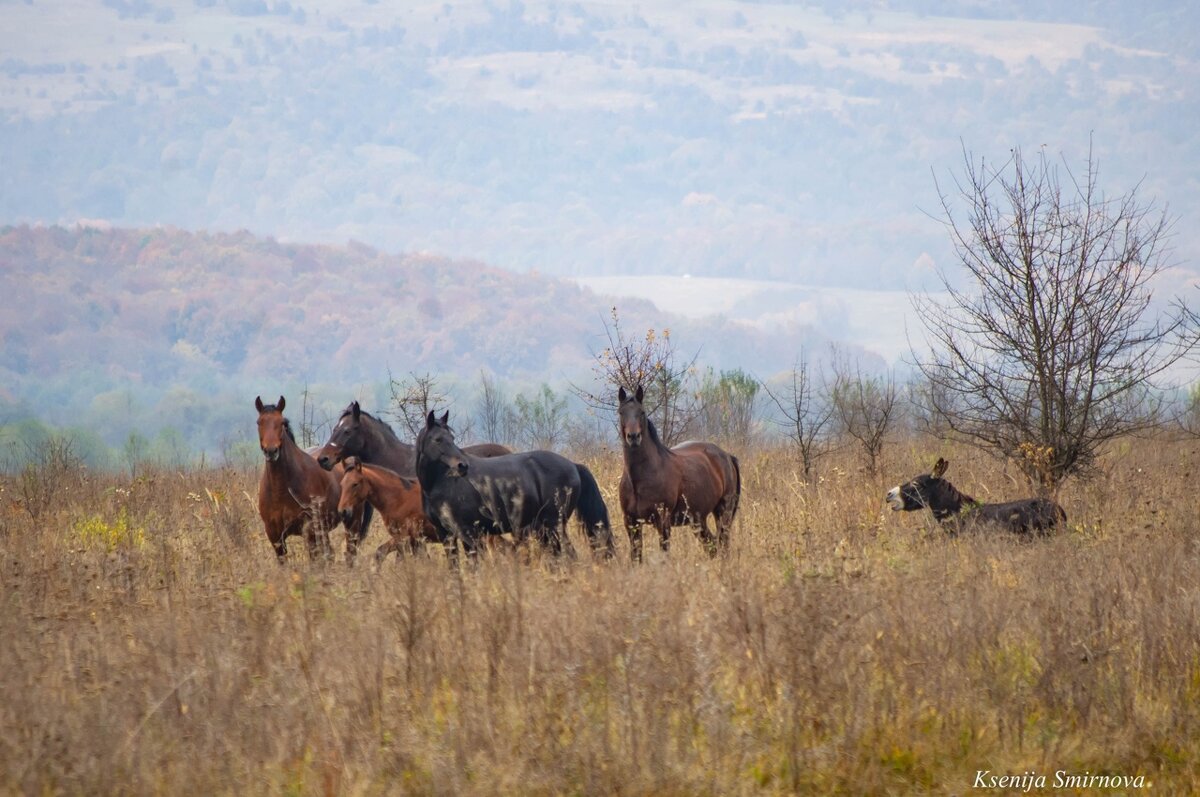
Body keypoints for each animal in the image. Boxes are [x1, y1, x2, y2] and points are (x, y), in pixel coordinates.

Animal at [255, 393, 343, 559]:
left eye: (282, 422)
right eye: (259, 422)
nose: (271, 451)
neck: (280, 491)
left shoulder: (309, 530)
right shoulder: (275, 536)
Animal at [415, 412, 619, 564]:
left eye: (452, 438)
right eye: (437, 439)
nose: (462, 466)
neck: (441, 483)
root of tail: (573, 465)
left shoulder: (468, 534)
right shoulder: (446, 536)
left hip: (554, 526)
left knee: (569, 556)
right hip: (544, 529)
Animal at [619, 384, 739, 559]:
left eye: (641, 412)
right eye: (621, 412)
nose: (633, 437)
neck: (640, 480)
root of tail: (727, 456)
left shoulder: (663, 522)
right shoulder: (631, 523)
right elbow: (636, 557)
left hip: (723, 513)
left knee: (723, 544)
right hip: (698, 520)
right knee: (712, 546)